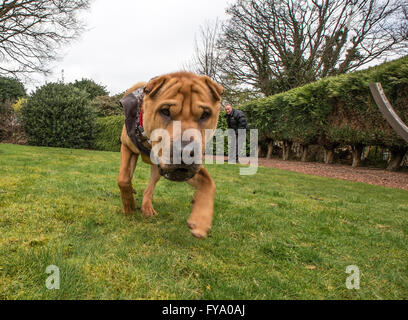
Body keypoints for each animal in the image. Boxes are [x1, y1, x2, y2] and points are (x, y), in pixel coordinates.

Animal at [116, 72, 225, 238]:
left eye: (205, 114)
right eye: (165, 111)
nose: (185, 150)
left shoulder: (186, 171)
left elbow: (208, 182)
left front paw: (200, 221)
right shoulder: (127, 148)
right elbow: (123, 179)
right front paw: (128, 205)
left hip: (158, 170)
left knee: (150, 188)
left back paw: (147, 207)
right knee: (129, 175)